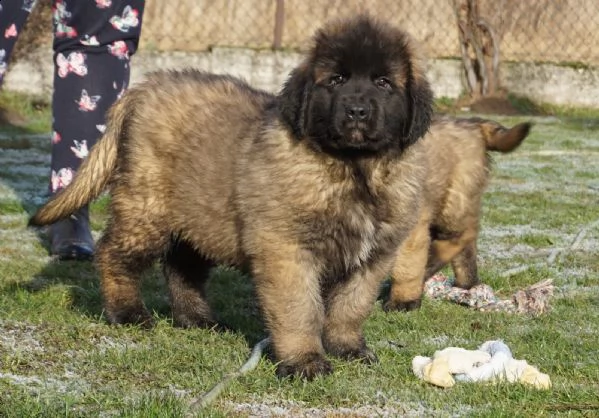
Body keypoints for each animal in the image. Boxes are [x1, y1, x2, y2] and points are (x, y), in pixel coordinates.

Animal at [28, 14, 434, 378]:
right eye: (336, 80)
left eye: (383, 82)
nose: (357, 111)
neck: (354, 170)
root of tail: (144, 88)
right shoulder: (286, 250)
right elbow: (299, 309)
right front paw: (304, 361)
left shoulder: (374, 256)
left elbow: (351, 306)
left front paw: (347, 347)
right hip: (147, 207)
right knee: (115, 254)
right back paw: (128, 313)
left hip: (198, 215)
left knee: (182, 268)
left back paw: (197, 319)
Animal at [382, 116, 532, 312]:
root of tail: (473, 123)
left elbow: (407, 264)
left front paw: (403, 301)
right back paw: (467, 283)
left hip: (454, 198)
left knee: (463, 234)